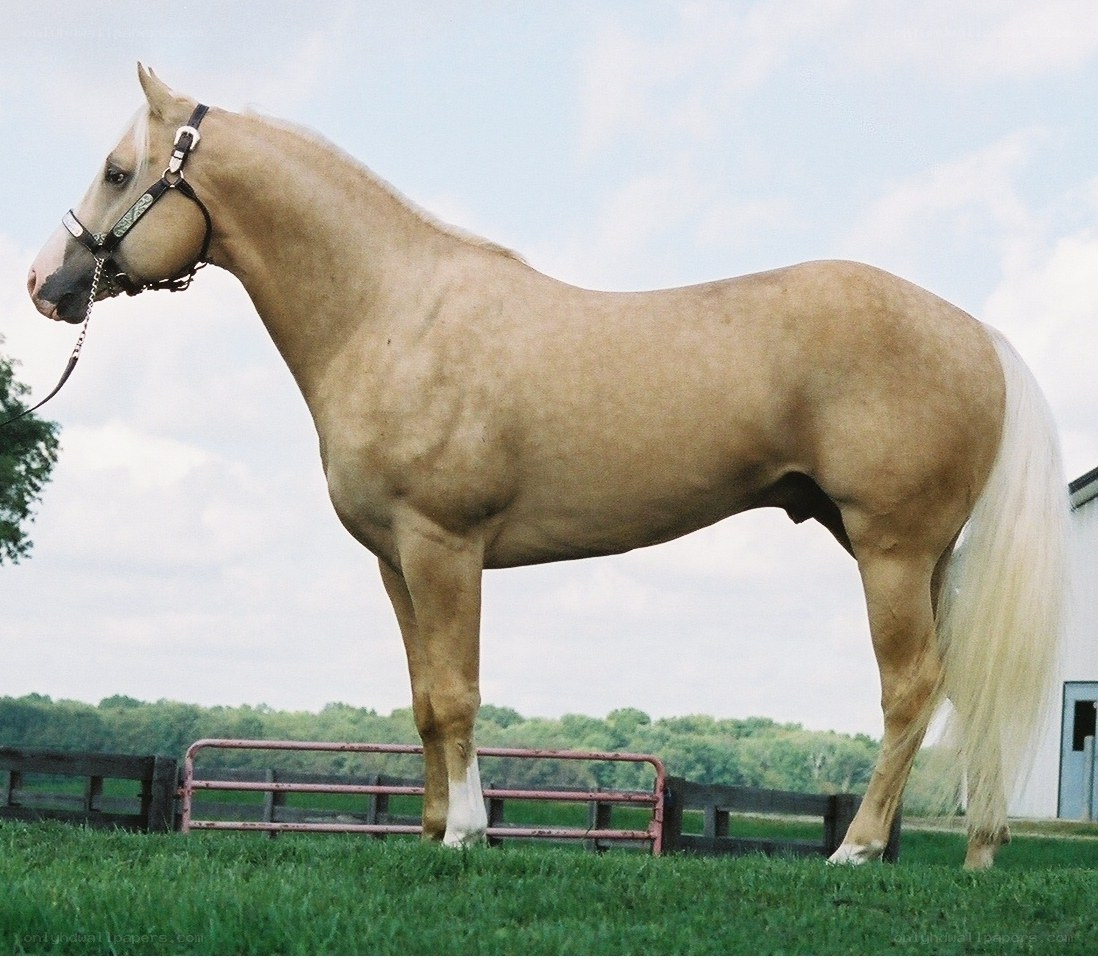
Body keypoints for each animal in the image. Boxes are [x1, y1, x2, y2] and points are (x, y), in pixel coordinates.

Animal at [27, 65, 1068, 868]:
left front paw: (468, 834)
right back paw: (977, 851)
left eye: (118, 170)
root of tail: (977, 334)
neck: (391, 312)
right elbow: (422, 701)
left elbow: (458, 693)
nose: (44, 283)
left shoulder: (445, 547)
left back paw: (855, 849)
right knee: (962, 684)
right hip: (921, 557)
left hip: (891, 550)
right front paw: (432, 832)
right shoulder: (396, 561)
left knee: (910, 688)